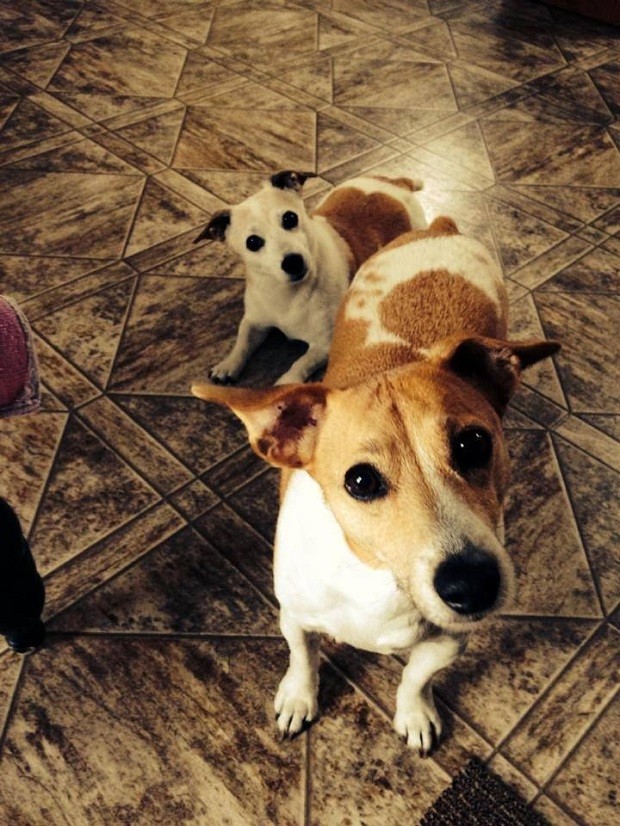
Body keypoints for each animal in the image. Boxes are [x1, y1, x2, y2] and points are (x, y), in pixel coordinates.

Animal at [191, 217, 560, 752]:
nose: (471, 585)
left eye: (474, 443)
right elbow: (302, 658)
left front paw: (414, 714)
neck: (374, 576)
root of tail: (440, 228)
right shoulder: (294, 616)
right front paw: (299, 698)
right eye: (360, 480)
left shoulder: (450, 641)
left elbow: (416, 677)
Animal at [194, 170, 426, 386]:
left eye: (290, 218)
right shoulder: (254, 321)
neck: (287, 295)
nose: (292, 262)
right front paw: (227, 365)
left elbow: (300, 363)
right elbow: (242, 342)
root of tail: (397, 182)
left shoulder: (323, 345)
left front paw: (286, 382)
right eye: (252, 242)